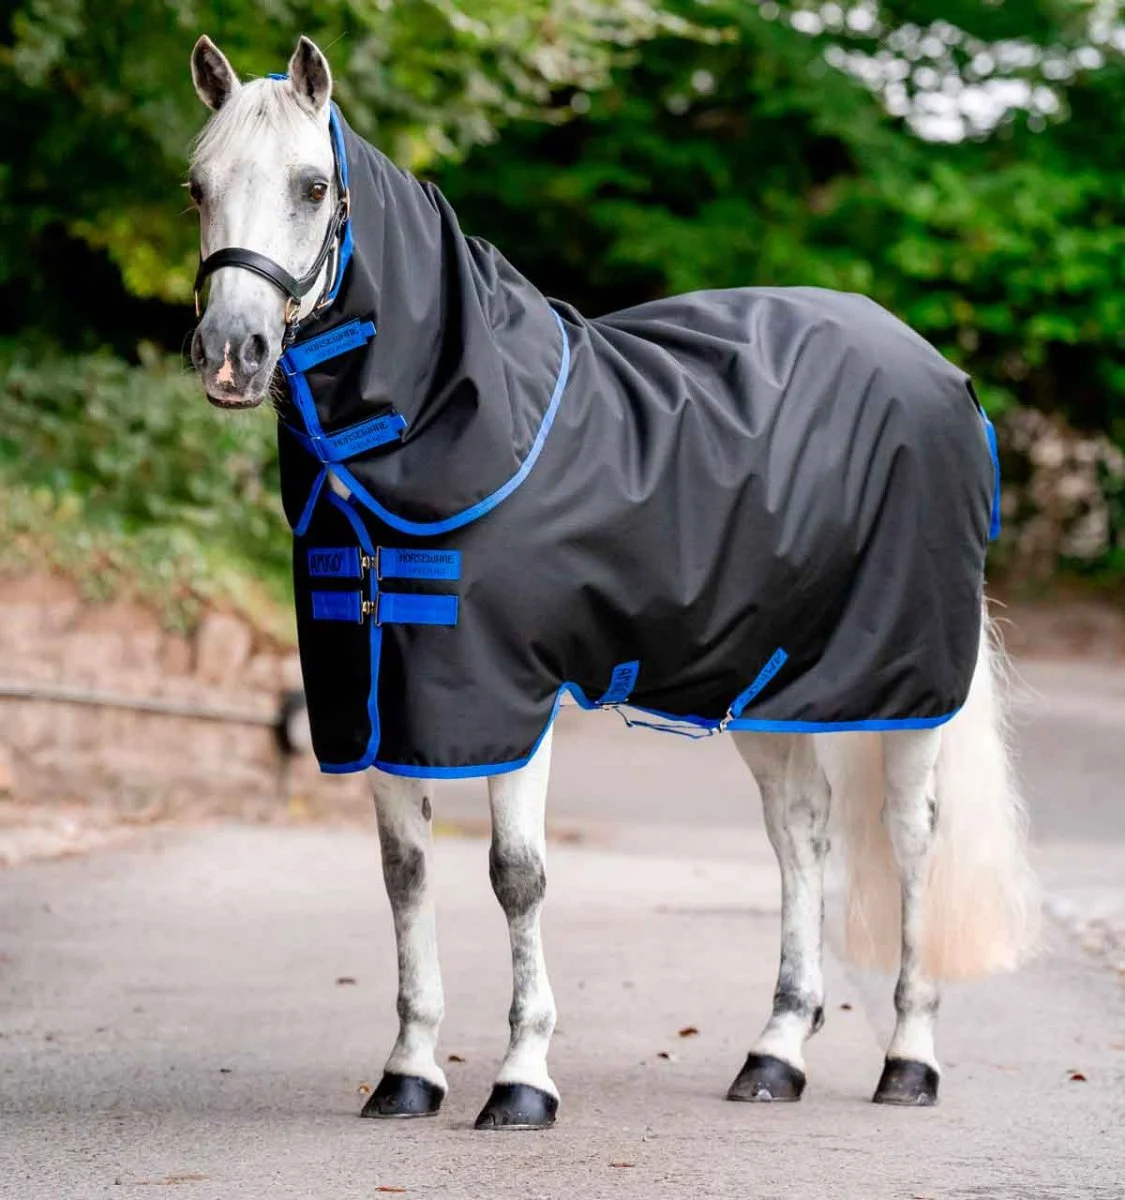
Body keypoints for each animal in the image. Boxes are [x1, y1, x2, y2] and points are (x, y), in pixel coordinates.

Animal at [186, 34, 1039, 1130]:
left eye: (311, 185)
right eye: (197, 185)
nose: (231, 354)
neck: (448, 420)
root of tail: (943, 376)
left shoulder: (509, 696)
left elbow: (516, 876)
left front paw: (522, 1080)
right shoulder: (379, 697)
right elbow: (404, 875)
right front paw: (409, 1073)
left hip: (909, 686)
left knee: (913, 840)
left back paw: (909, 1060)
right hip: (765, 683)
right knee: (800, 835)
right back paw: (774, 1054)